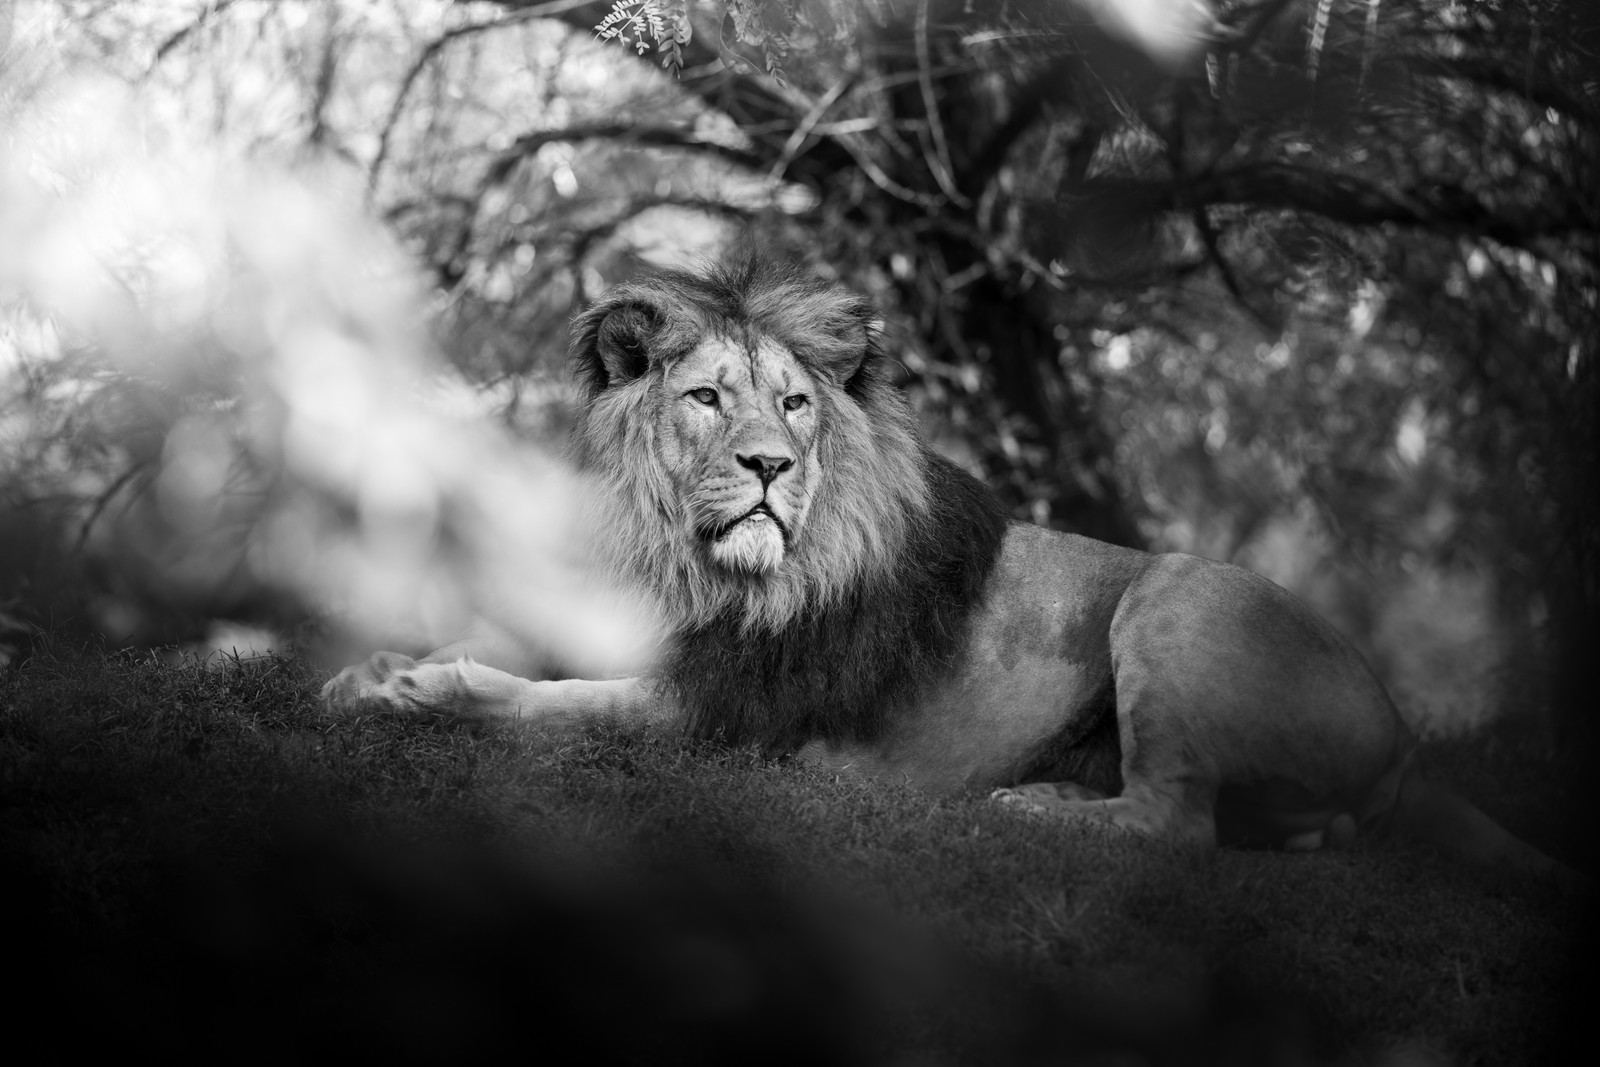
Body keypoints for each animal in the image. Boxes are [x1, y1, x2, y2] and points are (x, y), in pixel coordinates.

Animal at [318, 254, 1568, 883]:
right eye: (707, 397)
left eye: (795, 404)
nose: (770, 465)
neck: (684, 560)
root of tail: (1403, 735)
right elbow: (509, 652)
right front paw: (366, 668)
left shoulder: (717, 714)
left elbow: (554, 703)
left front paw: (427, 687)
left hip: (1182, 588)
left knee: (1176, 824)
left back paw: (1032, 810)